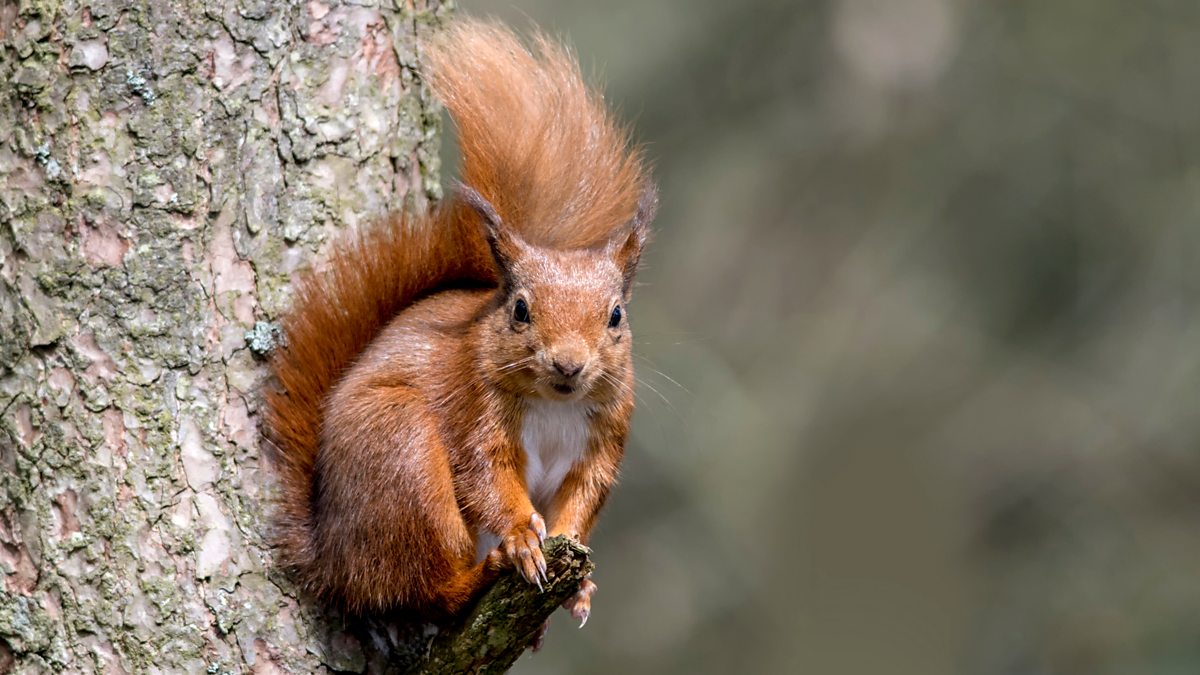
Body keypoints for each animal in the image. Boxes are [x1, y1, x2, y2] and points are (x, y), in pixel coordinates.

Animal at [261, 17, 657, 624]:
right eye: (520, 310)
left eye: (616, 316)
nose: (568, 364)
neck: (553, 405)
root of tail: (335, 562)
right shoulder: (473, 406)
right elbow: (485, 475)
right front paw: (521, 538)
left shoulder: (604, 437)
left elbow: (581, 503)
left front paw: (581, 581)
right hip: (402, 453)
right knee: (427, 589)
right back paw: (480, 574)